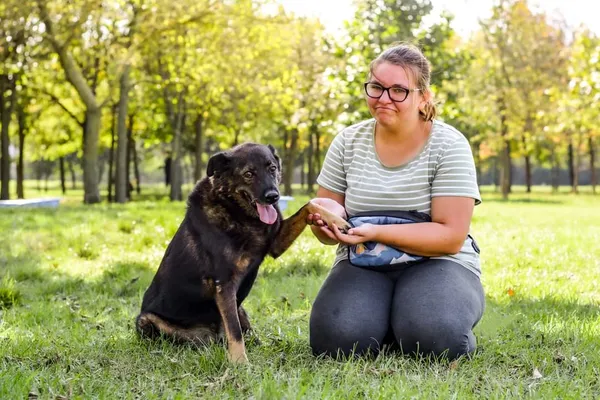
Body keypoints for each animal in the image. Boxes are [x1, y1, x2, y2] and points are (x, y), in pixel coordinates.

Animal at [135, 143, 352, 362]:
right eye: (248, 174)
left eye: (272, 168)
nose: (273, 196)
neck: (238, 213)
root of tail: (210, 337)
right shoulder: (224, 284)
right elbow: (234, 330)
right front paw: (240, 363)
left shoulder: (275, 244)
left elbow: (309, 204)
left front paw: (336, 220)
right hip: (146, 320)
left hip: (240, 308)